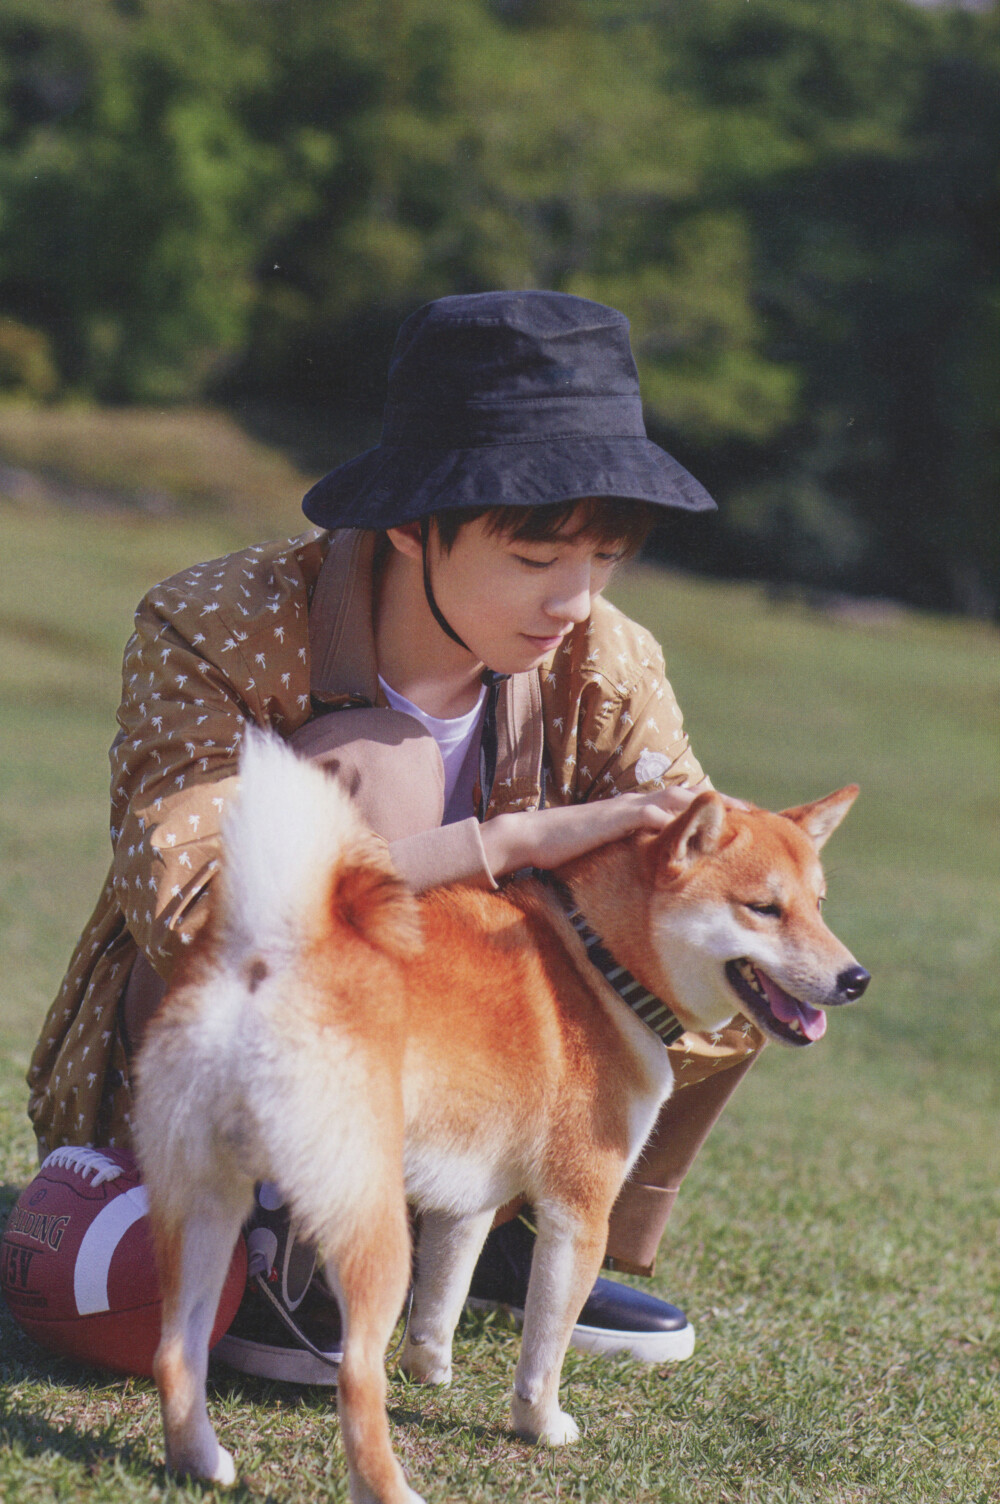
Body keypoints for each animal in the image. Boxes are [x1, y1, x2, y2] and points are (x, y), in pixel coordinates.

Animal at [132, 730, 866, 1504]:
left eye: (819, 905)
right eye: (765, 908)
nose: (857, 978)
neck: (598, 961)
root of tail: (270, 959)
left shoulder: (469, 1195)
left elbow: (443, 1298)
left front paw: (430, 1372)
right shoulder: (581, 1209)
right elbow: (545, 1347)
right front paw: (540, 1423)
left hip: (200, 1203)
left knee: (174, 1354)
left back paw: (199, 1462)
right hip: (370, 1222)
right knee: (354, 1379)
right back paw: (390, 1489)